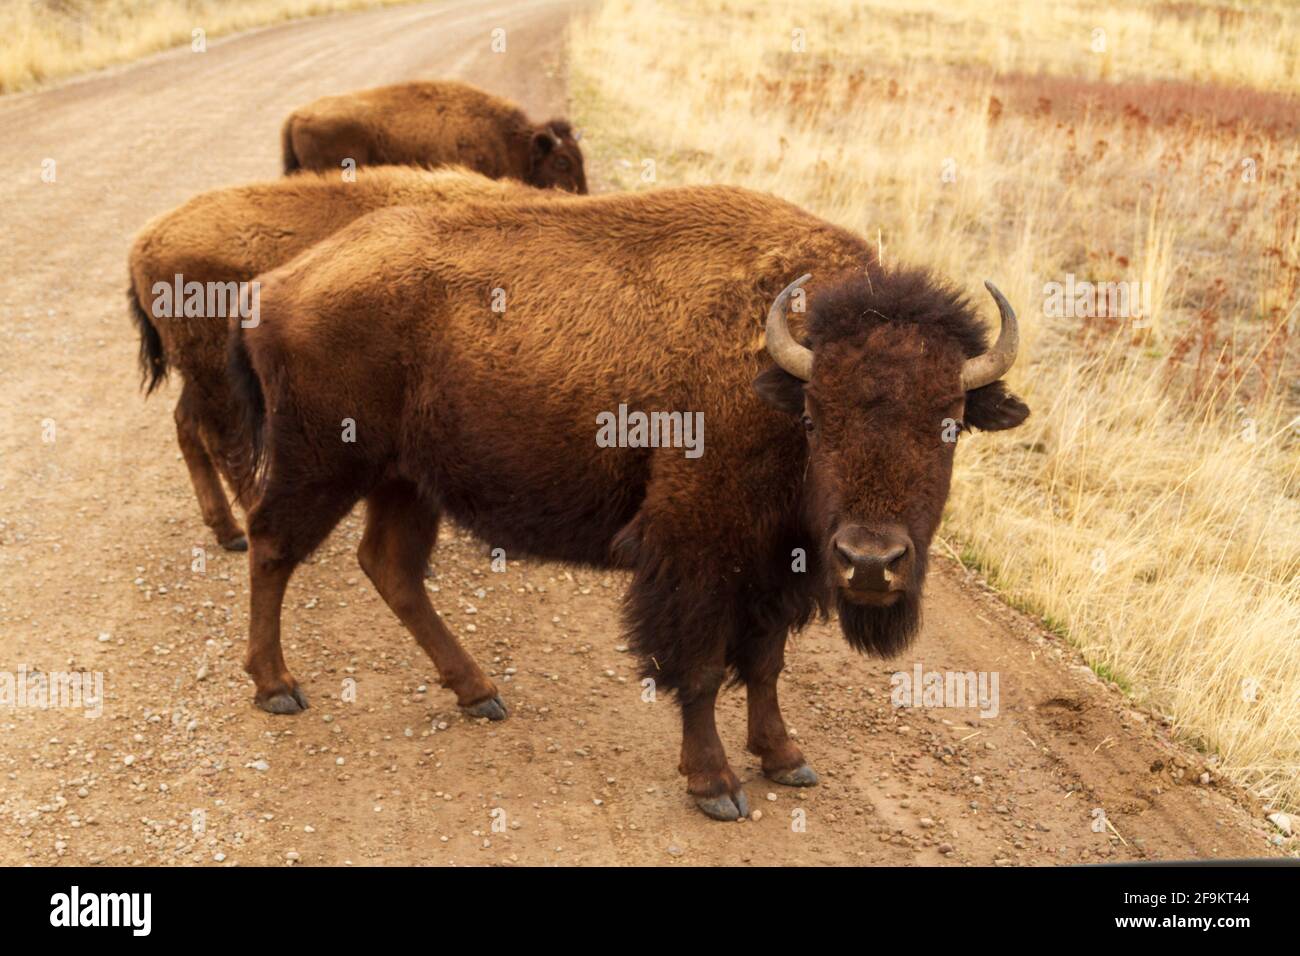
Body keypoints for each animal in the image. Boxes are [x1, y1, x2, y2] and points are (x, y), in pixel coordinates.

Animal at [228, 187, 1029, 822]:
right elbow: (699, 668)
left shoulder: (777, 568)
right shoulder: (697, 555)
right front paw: (716, 787)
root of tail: (280, 282)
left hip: (406, 480)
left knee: (390, 568)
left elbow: (765, 664)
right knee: (272, 545)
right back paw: (278, 687)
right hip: (324, 464)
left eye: (951, 420)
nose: (870, 561)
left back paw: (479, 693)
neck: (774, 373)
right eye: (816, 417)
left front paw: (785, 758)